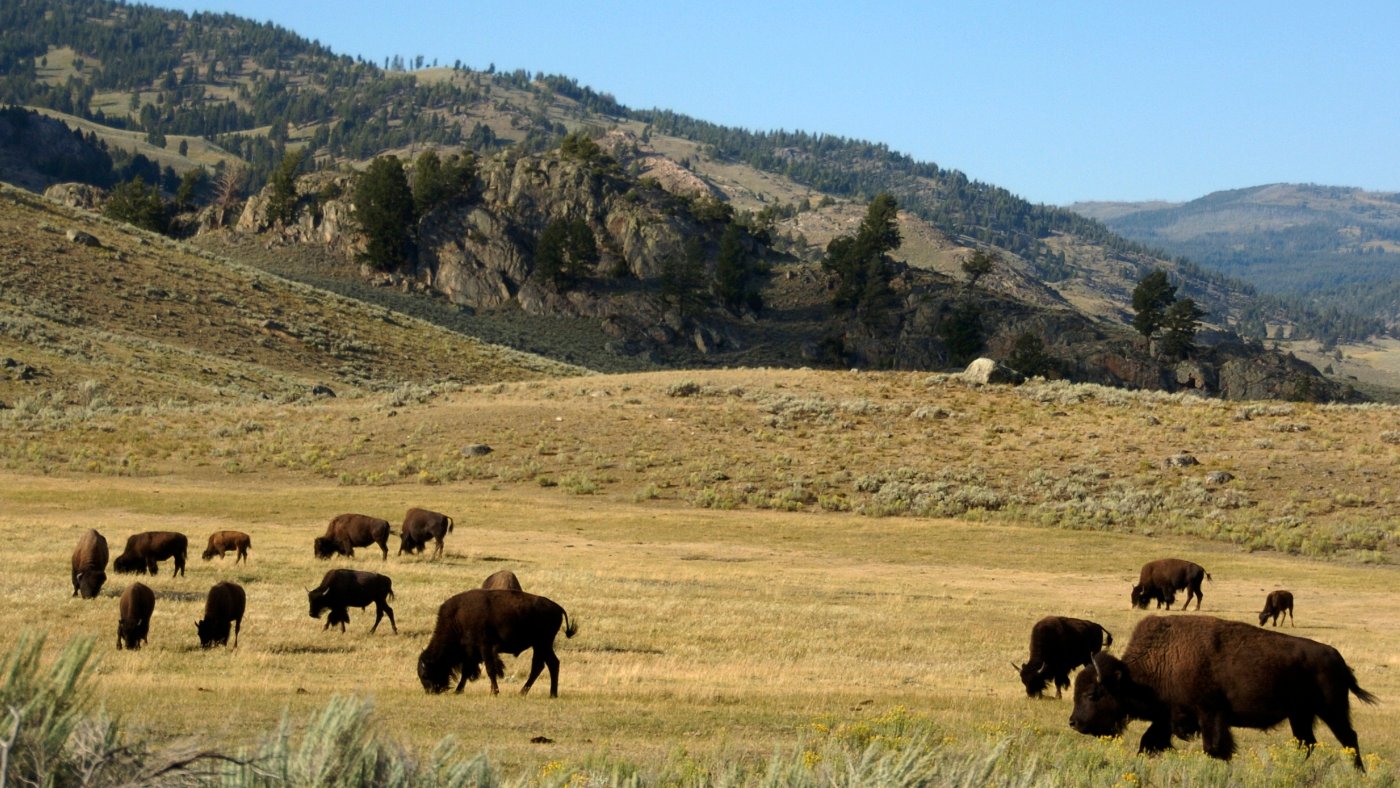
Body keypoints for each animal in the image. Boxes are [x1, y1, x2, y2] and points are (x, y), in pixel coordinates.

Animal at [417, 593, 576, 697]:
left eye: (425, 674)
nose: (430, 692)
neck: (457, 618)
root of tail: (558, 608)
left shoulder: (485, 647)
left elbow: (490, 669)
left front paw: (494, 692)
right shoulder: (471, 652)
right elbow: (466, 671)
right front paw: (458, 691)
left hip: (542, 643)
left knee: (543, 665)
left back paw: (529, 693)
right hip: (541, 645)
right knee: (548, 664)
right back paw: (546, 693)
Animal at [1069, 615, 1377, 772]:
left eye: (1093, 694)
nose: (1074, 722)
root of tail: (1336, 657)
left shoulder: (1211, 715)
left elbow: (1215, 748)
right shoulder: (1168, 717)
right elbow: (1149, 742)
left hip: (1332, 710)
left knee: (1349, 738)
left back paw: (1358, 772)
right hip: (1300, 715)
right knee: (1307, 743)